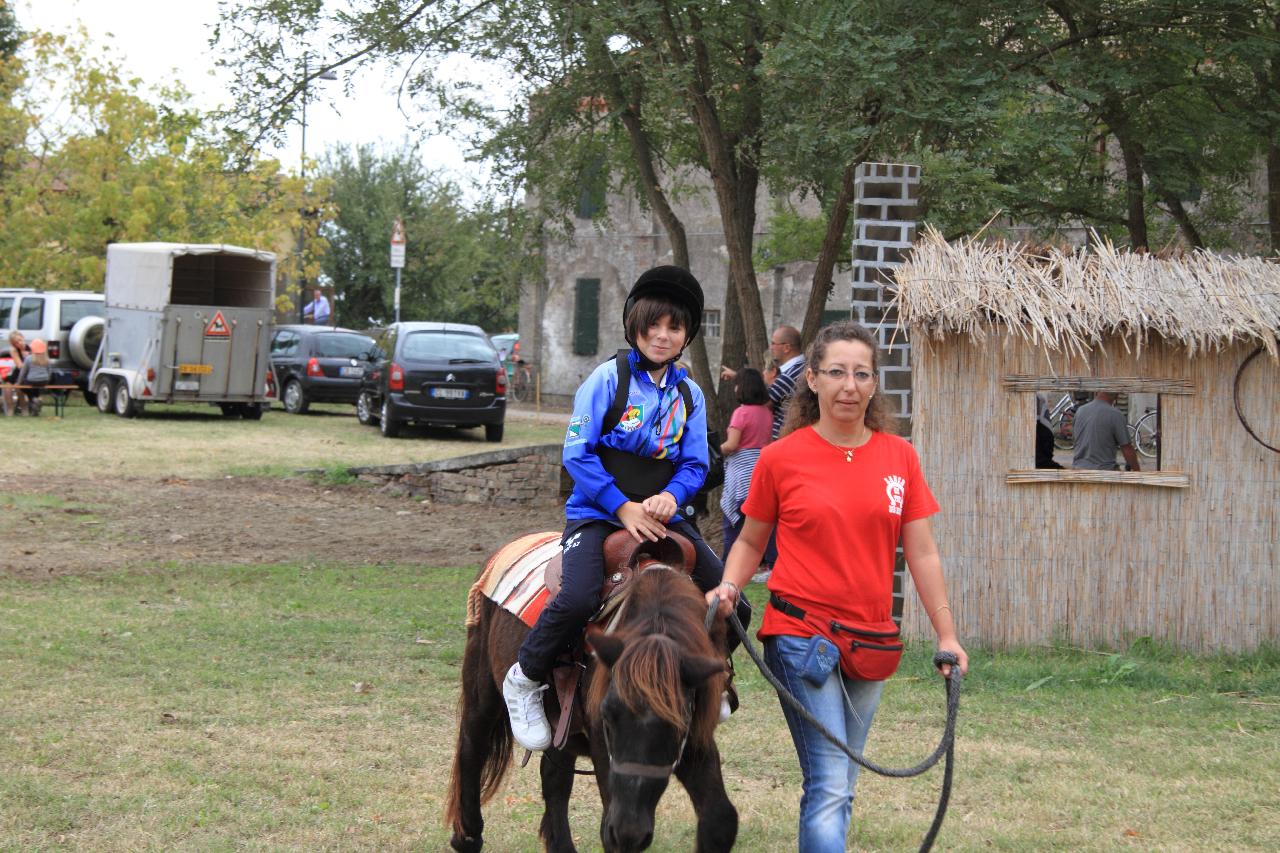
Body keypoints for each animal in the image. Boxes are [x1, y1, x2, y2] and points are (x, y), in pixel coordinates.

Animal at [445, 555, 737, 845]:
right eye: (607, 716)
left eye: (680, 723)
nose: (629, 830)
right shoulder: (601, 748)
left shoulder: (695, 738)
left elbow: (720, 818)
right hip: (483, 693)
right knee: (472, 747)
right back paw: (467, 836)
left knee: (554, 780)